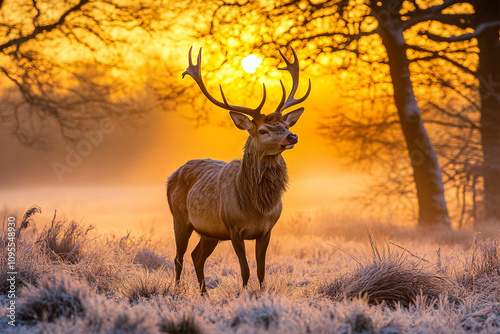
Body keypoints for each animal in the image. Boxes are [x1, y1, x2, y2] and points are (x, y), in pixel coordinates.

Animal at [166, 45, 310, 294]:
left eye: (286, 124)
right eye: (263, 130)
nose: (293, 136)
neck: (256, 207)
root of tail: (171, 176)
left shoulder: (267, 230)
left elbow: (261, 271)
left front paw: (261, 294)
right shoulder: (233, 228)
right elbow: (245, 270)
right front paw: (243, 295)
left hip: (210, 232)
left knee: (196, 256)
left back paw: (205, 294)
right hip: (180, 218)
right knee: (178, 257)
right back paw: (178, 291)